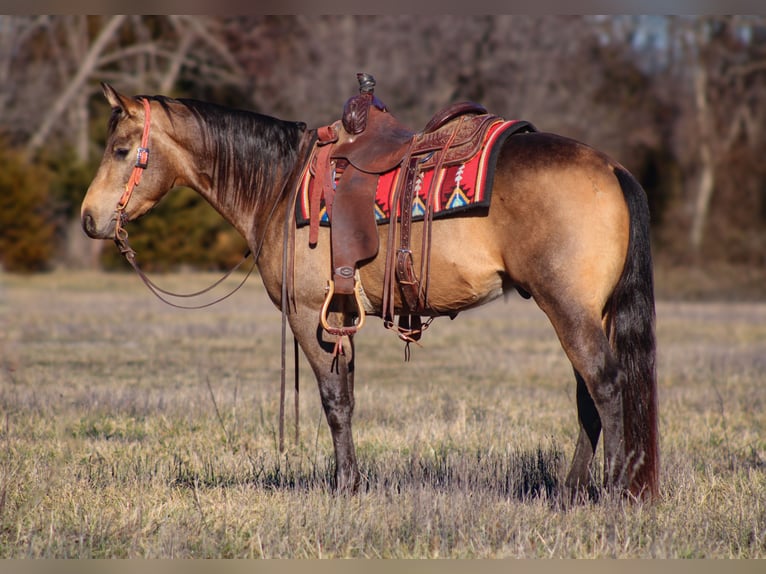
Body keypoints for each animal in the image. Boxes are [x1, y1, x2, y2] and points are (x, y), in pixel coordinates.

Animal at [82, 82, 660, 504]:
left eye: (121, 149)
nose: (89, 219)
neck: (280, 185)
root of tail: (612, 168)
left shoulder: (310, 313)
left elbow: (334, 400)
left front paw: (345, 487)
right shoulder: (340, 316)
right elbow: (348, 396)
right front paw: (352, 482)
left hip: (568, 308)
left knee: (606, 384)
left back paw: (612, 490)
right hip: (587, 311)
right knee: (588, 395)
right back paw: (571, 491)